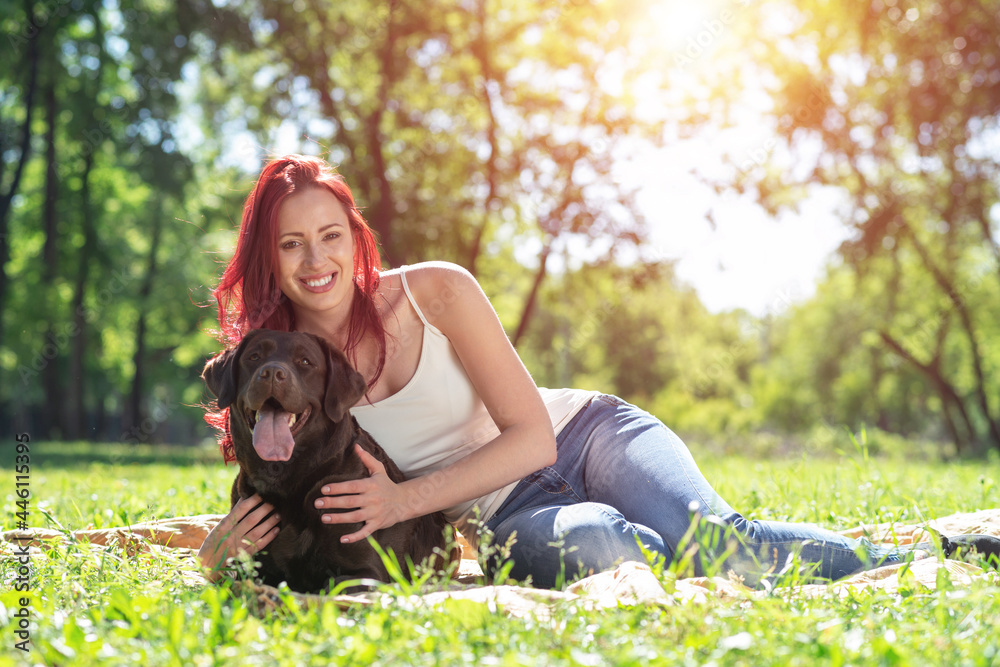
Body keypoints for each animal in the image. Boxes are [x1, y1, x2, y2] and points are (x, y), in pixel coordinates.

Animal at [203, 328, 458, 588]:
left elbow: (329, 586)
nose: (272, 373)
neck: (283, 477)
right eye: (254, 357)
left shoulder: (369, 573)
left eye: (305, 362)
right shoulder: (255, 570)